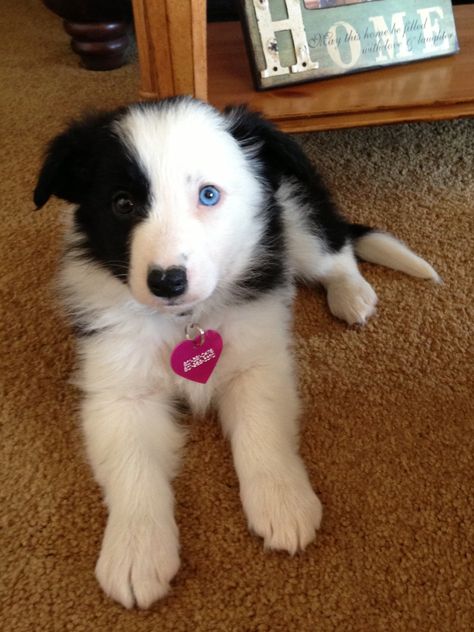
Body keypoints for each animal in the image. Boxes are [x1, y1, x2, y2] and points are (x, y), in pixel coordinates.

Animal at [35, 97, 438, 608]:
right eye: (122, 203)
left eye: (209, 195)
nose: (167, 281)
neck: (184, 320)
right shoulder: (119, 389)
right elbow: (133, 467)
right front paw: (135, 551)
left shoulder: (256, 359)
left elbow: (261, 433)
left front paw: (283, 502)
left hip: (293, 216)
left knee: (336, 250)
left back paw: (352, 294)